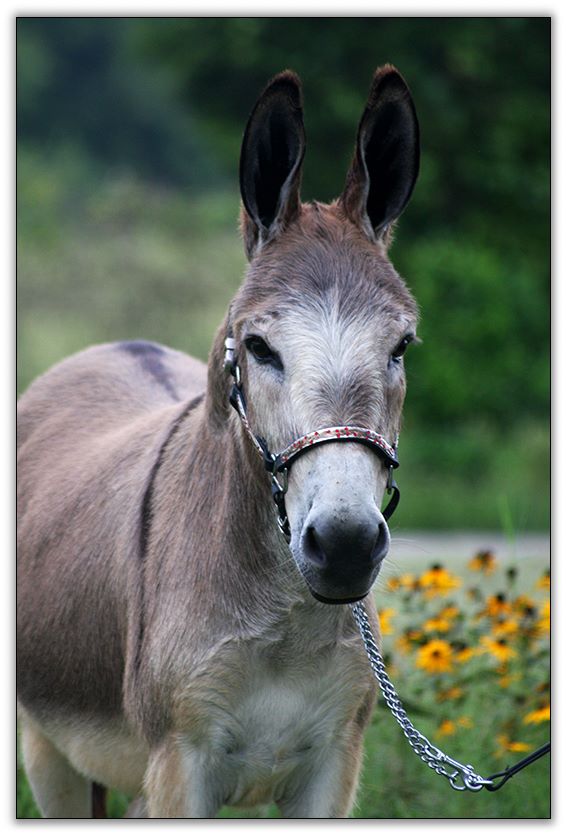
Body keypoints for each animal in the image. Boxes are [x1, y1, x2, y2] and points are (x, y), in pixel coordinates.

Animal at [17, 65, 420, 818]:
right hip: (48, 752)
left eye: (401, 346)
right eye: (258, 347)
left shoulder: (333, 764)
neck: (285, 625)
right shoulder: (180, 766)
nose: (346, 546)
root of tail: (114, 346)